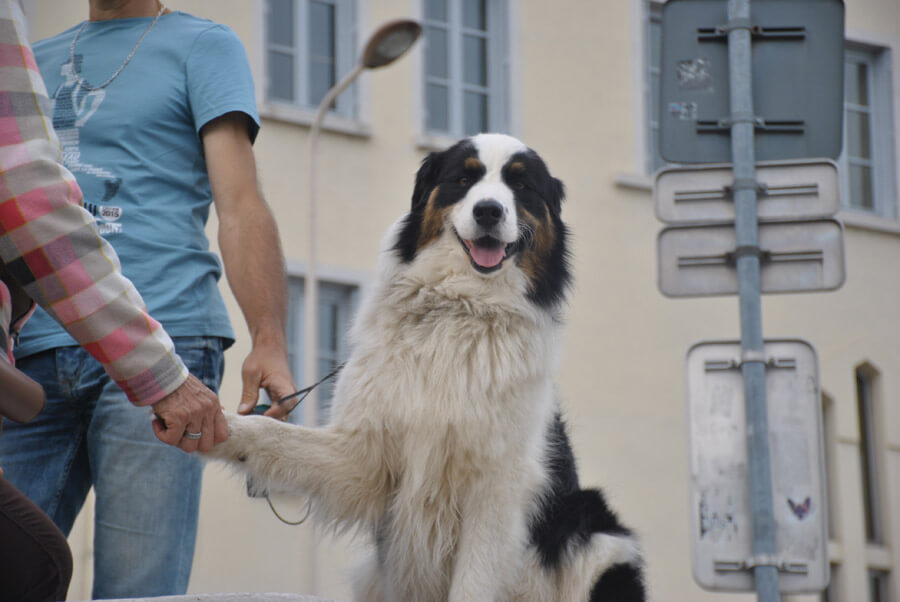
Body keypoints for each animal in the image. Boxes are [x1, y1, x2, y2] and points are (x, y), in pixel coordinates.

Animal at [209, 134, 648, 596]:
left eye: (522, 185)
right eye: (464, 178)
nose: (488, 210)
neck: (462, 308)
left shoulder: (500, 485)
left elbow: (473, 583)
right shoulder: (363, 456)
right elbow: (269, 432)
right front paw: (216, 424)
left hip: (599, 536)